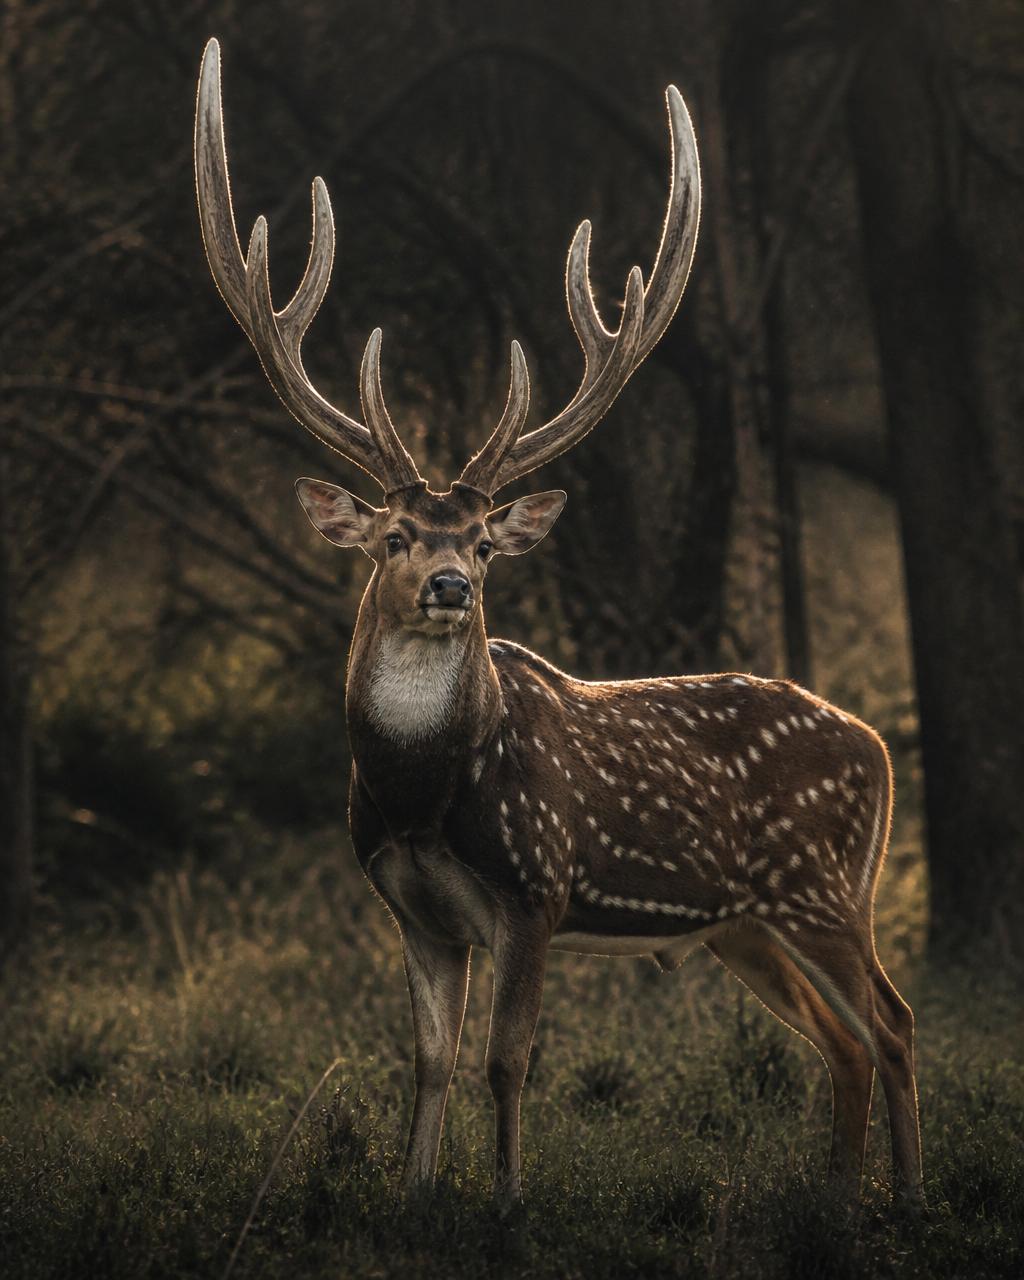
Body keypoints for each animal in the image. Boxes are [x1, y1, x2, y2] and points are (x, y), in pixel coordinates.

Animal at [194, 38, 923, 1213]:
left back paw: (904, 1196)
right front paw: (415, 1195)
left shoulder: (536, 885)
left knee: (894, 1023)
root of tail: (878, 748)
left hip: (824, 888)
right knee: (846, 1041)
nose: (450, 583)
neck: (418, 795)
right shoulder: (410, 908)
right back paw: (837, 1198)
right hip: (745, 921)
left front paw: (505, 1202)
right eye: (393, 536)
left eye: (487, 545)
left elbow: (508, 1058)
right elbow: (430, 1058)